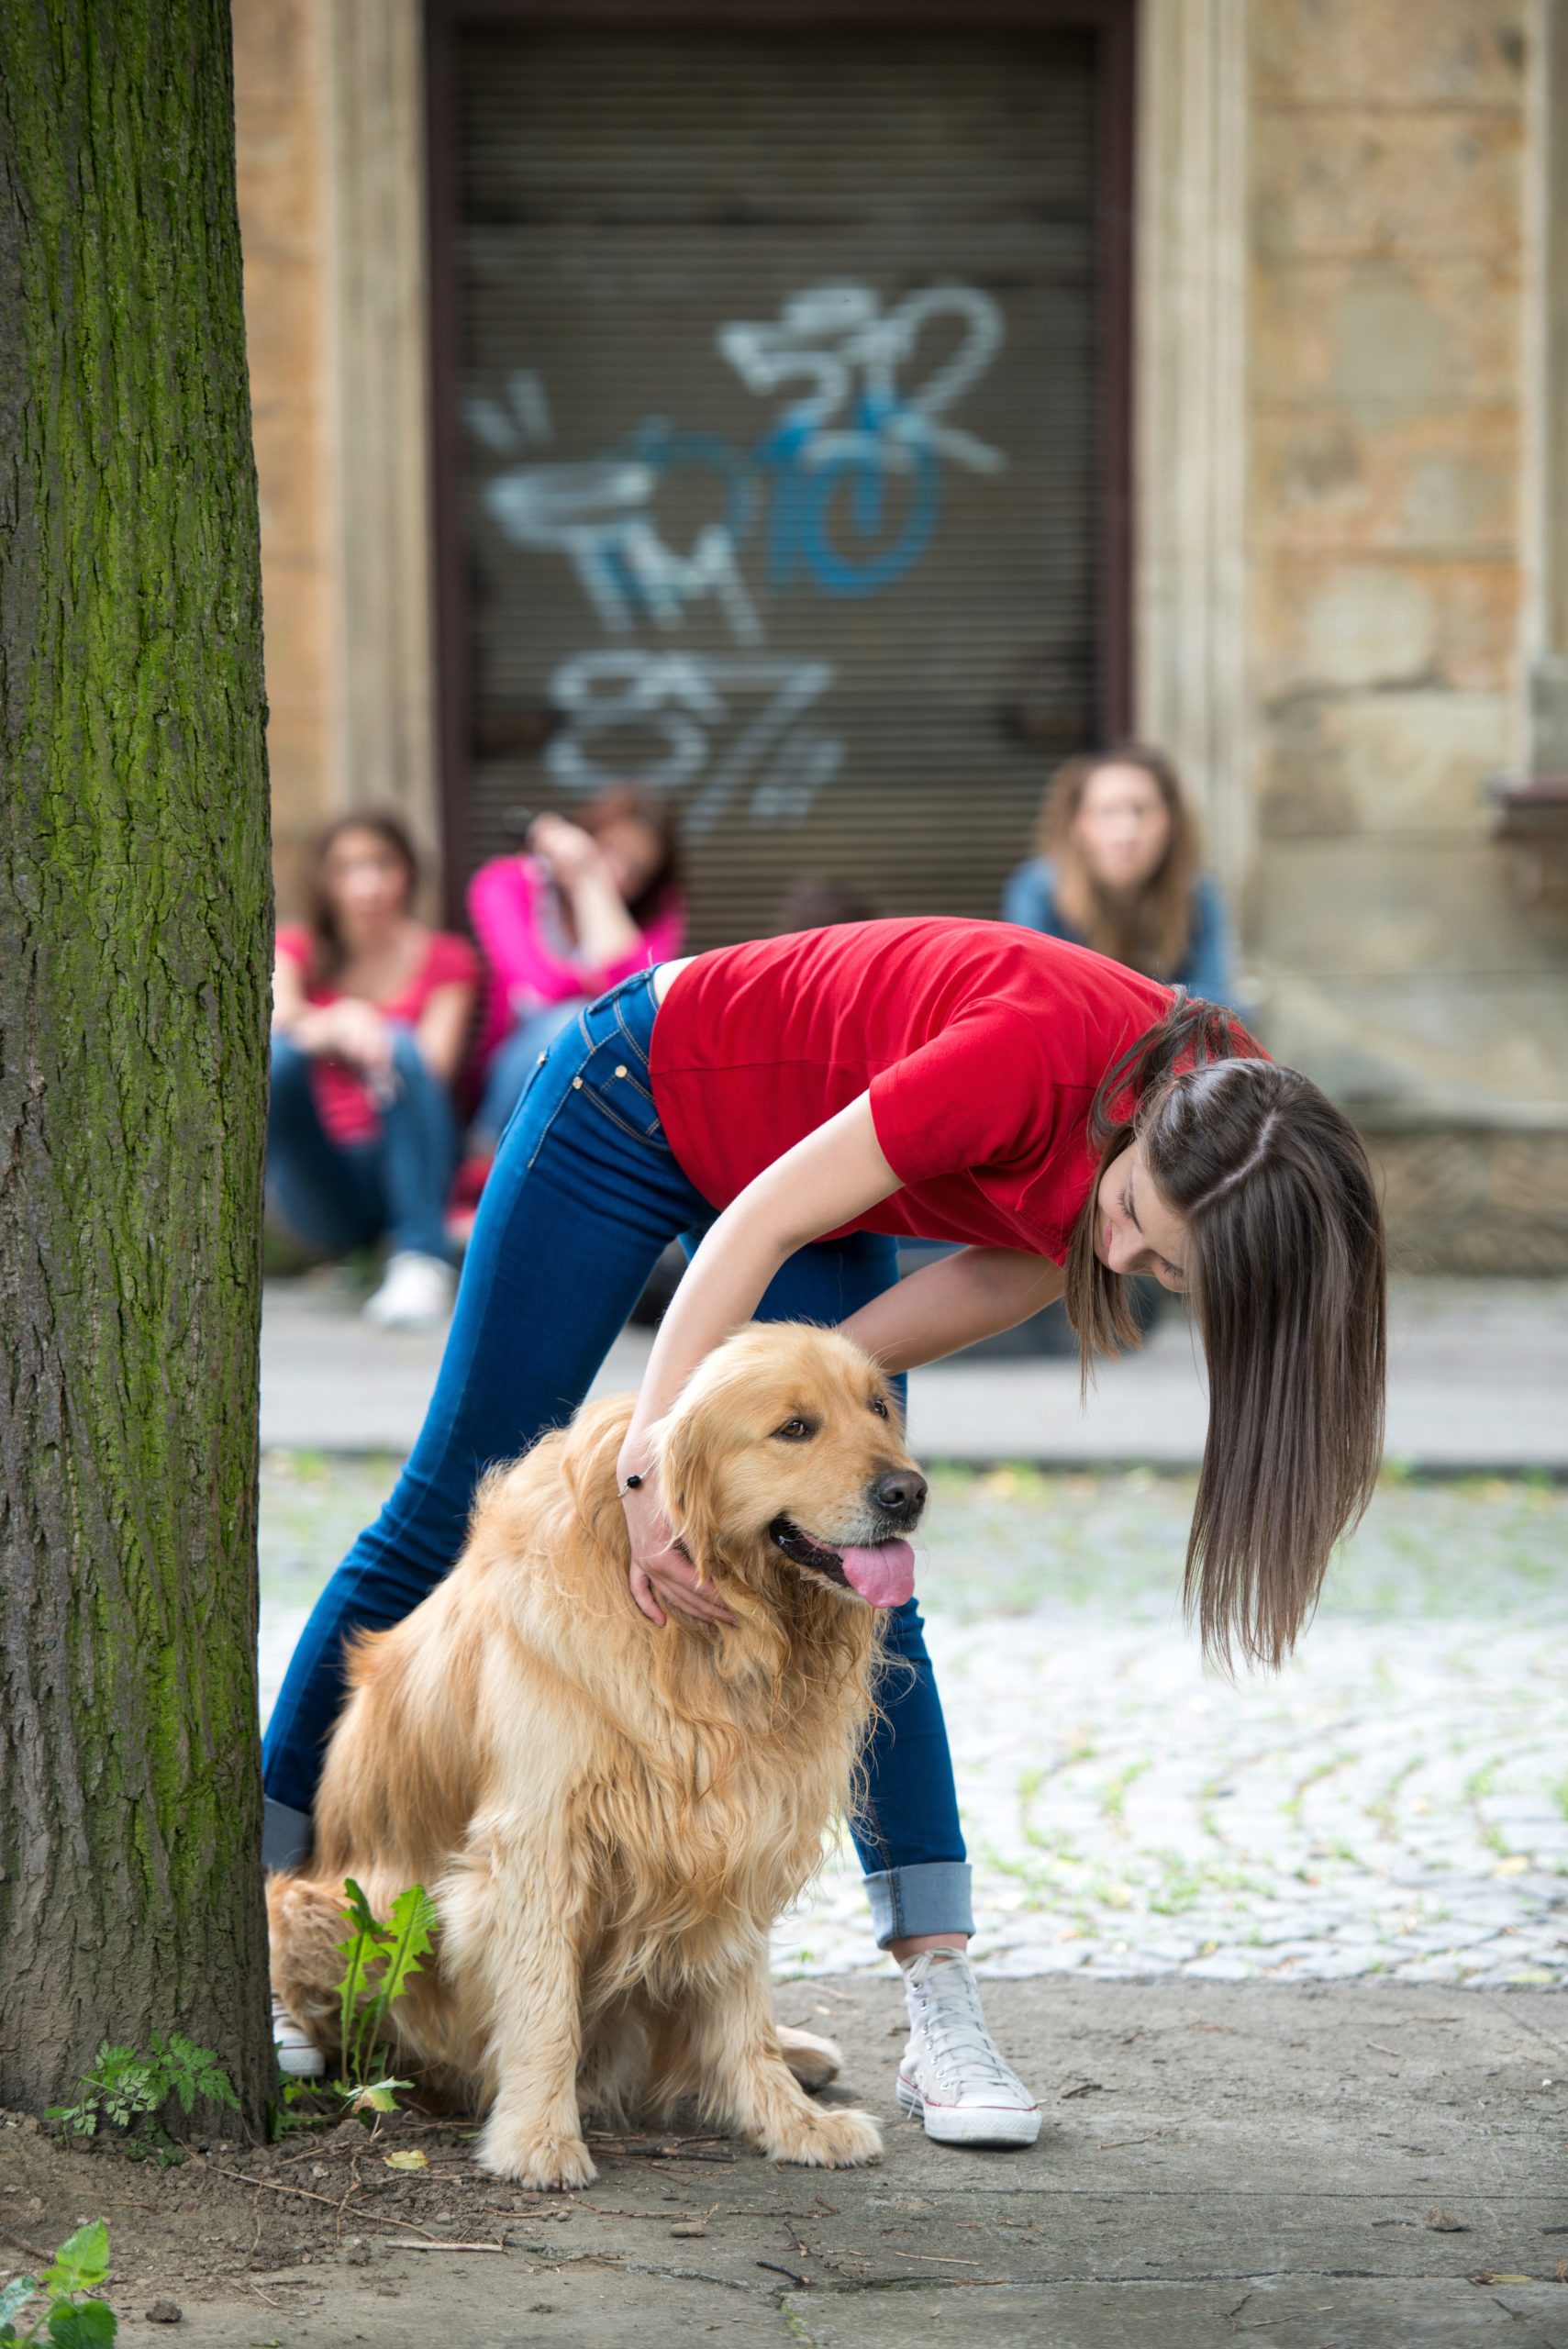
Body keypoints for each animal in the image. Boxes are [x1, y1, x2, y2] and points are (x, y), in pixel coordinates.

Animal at [266, 1324, 929, 2179]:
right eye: (793, 1428)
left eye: (879, 1407)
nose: (908, 1492)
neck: (709, 1639)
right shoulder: (539, 1839)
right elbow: (544, 2004)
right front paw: (537, 2138)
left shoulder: (734, 1826)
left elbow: (741, 2006)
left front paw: (788, 2122)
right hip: (316, 1910)